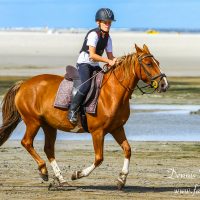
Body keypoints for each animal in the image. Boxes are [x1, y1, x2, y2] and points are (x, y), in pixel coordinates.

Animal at [0, 44, 168, 190]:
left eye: (158, 63)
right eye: (148, 64)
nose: (164, 84)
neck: (112, 93)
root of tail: (24, 84)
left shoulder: (117, 128)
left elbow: (127, 149)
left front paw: (121, 179)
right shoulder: (97, 132)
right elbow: (99, 158)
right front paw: (78, 174)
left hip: (49, 125)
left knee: (48, 149)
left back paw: (61, 179)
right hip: (33, 122)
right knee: (27, 142)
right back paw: (43, 171)